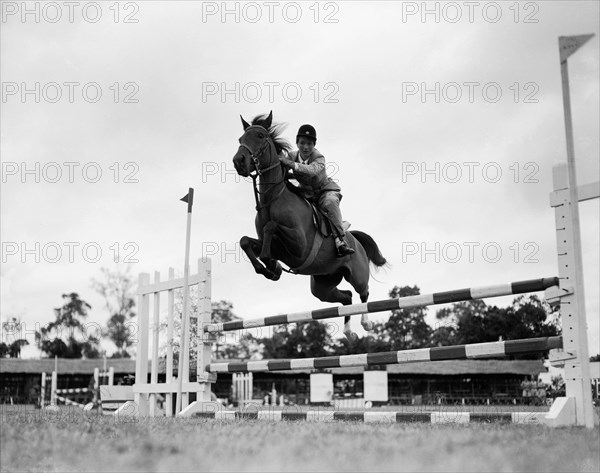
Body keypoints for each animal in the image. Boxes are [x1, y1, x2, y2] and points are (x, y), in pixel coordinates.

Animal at [232, 110, 386, 340]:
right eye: (241, 139)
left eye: (260, 136)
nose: (239, 161)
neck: (273, 198)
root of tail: (355, 240)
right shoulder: (270, 244)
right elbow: (246, 242)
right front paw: (270, 269)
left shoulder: (299, 246)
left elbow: (271, 228)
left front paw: (271, 265)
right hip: (323, 284)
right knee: (347, 297)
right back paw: (349, 333)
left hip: (357, 273)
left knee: (363, 292)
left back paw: (365, 324)